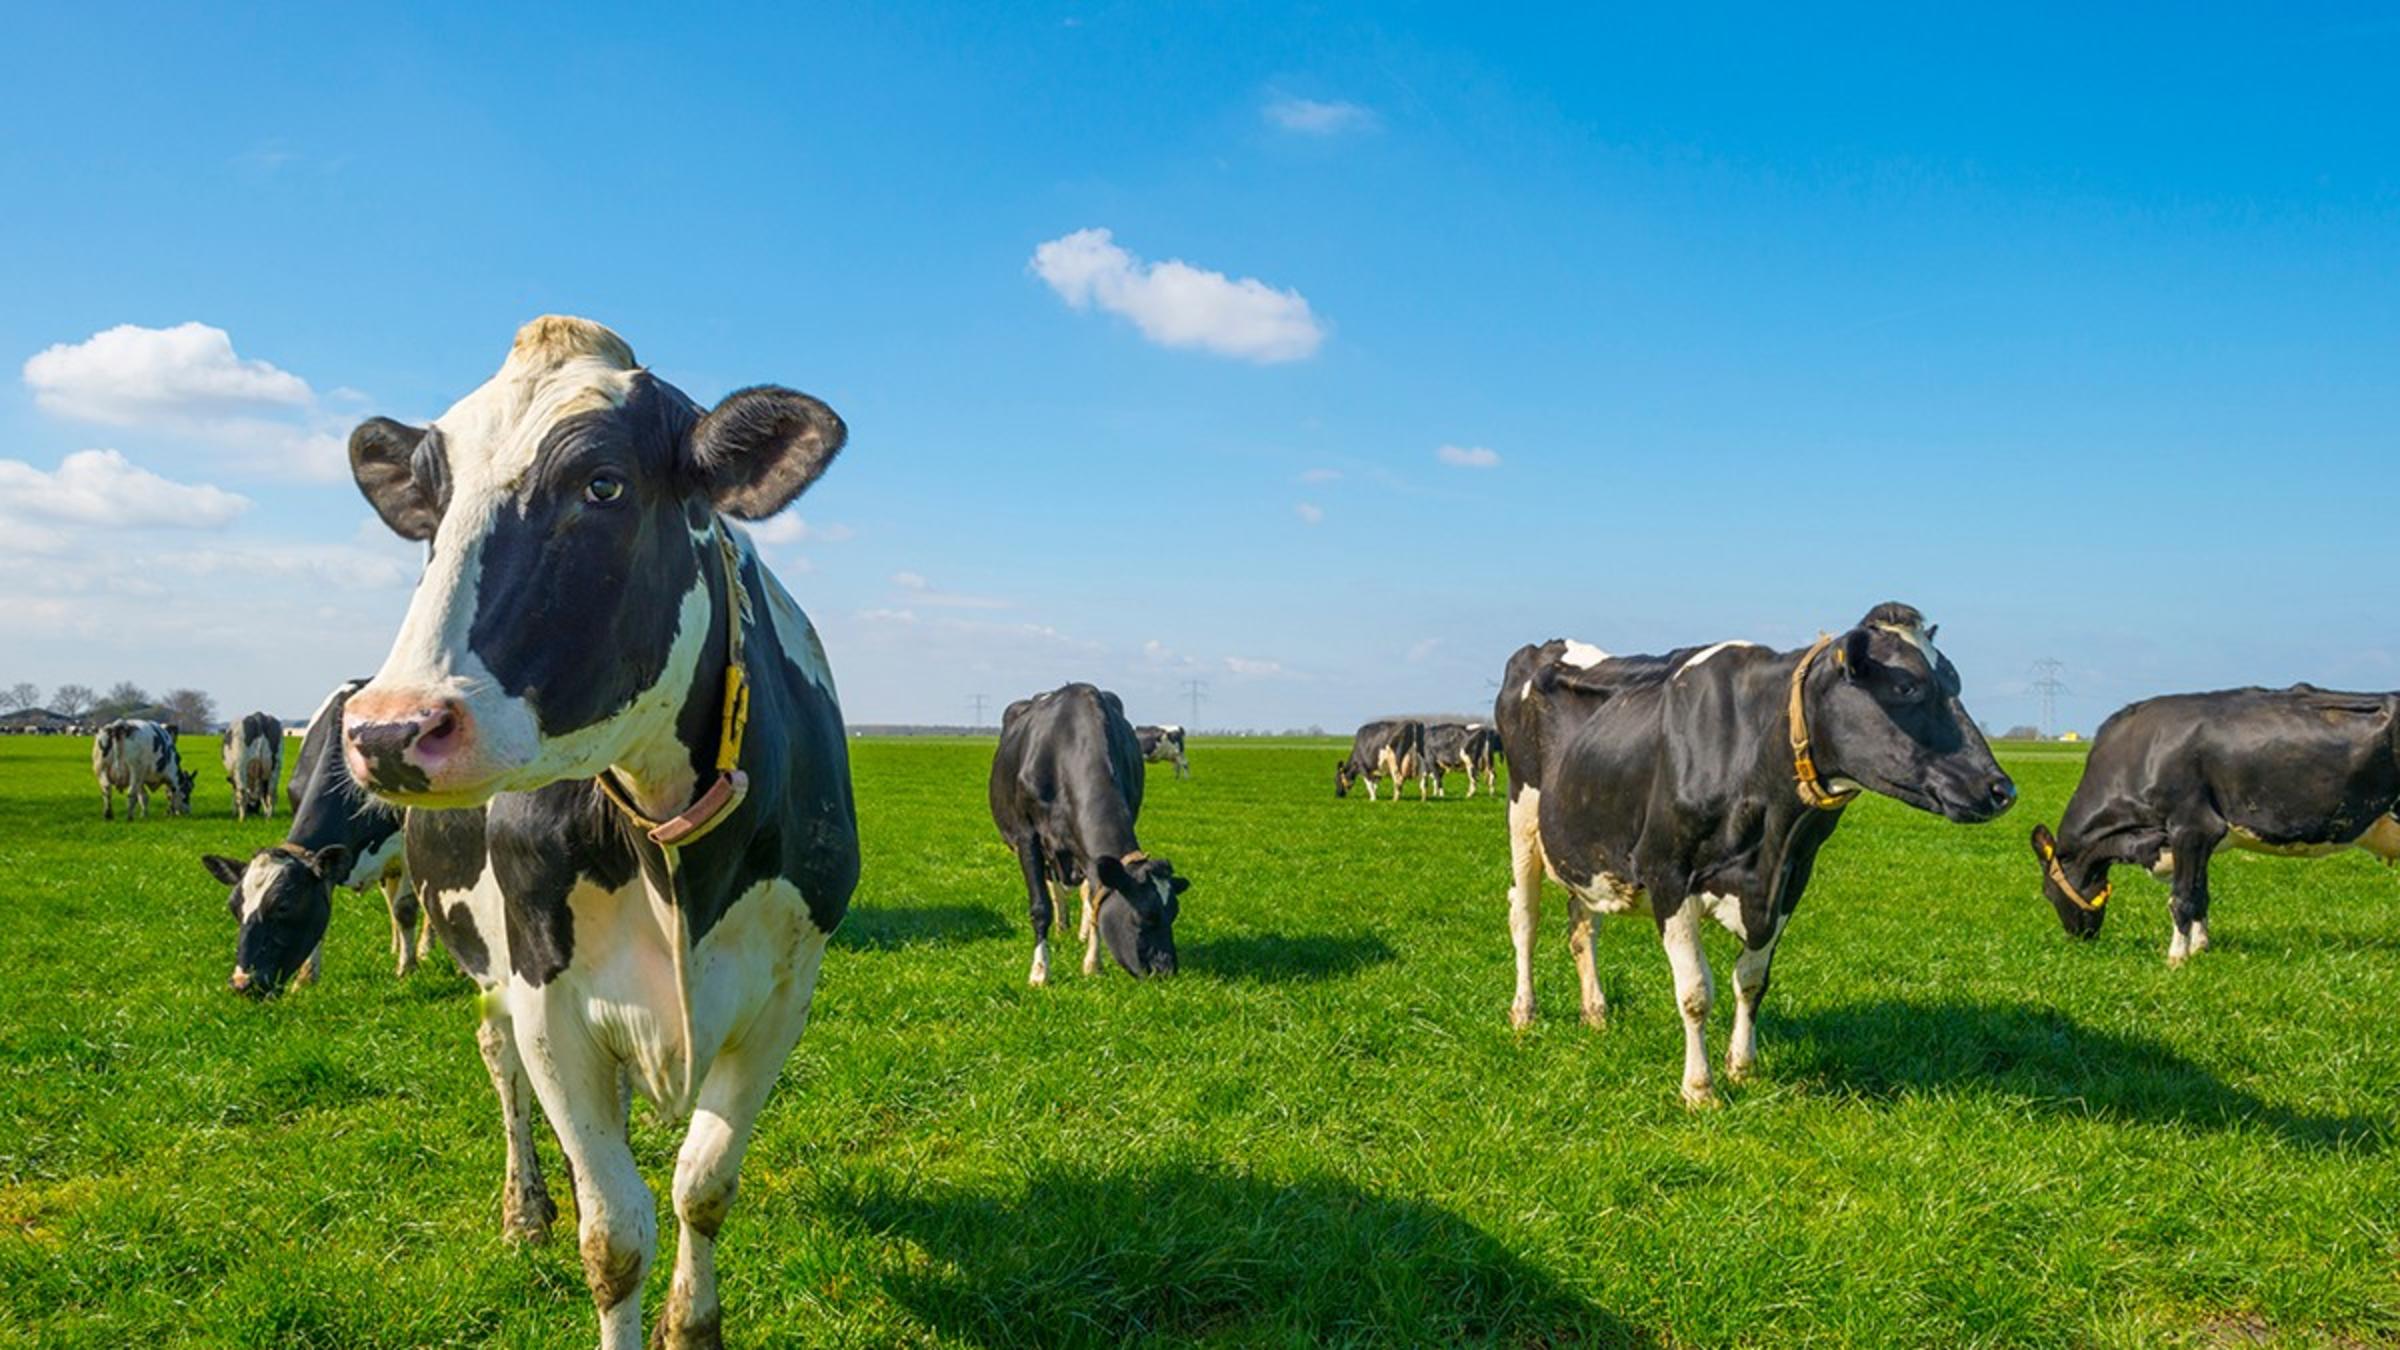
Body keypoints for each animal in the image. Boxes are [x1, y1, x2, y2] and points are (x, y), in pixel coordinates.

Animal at [200, 680, 426, 997]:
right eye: (234, 907)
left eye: (283, 906)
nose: (243, 983)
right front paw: (306, 979)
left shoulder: (406, 846)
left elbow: (405, 908)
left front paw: (408, 969)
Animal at [339, 315, 858, 1348]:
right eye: (433, 508)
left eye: (603, 485)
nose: (388, 730)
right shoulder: (549, 996)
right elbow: (614, 1234)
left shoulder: (785, 994)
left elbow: (703, 1186)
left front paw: (693, 1324)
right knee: (500, 1064)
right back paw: (525, 1206)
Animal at [991, 684, 1191, 986]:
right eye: (1145, 916)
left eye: (1174, 913)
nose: (1165, 971)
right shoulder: (1027, 837)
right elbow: (1040, 906)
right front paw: (1040, 971)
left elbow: (1095, 896)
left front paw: (1093, 964)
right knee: (1053, 886)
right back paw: (1061, 925)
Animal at [1495, 607, 2016, 1106]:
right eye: (1908, 686)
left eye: (1955, 683)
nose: (2002, 790)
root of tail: (1545, 645)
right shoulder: (1668, 873)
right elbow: (1695, 992)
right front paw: (1699, 1089)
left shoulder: (1791, 878)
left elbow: (1751, 980)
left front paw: (1742, 1068)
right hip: (1522, 817)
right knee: (1525, 917)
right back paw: (1524, 1012)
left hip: (1584, 847)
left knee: (1583, 925)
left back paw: (1596, 1013)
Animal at [2029, 684, 2400, 966]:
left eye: (2046, 893)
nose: (2079, 937)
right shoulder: (2202, 840)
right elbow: (2201, 894)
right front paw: (2200, 947)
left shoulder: (2191, 827)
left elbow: (2181, 898)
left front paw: (2176, 957)